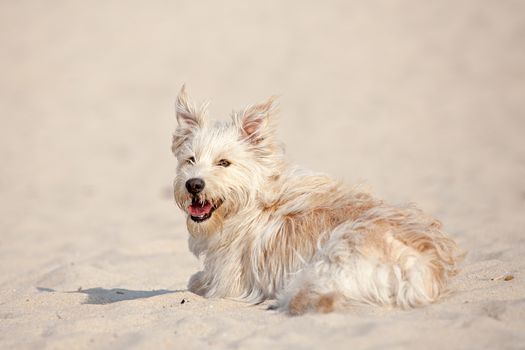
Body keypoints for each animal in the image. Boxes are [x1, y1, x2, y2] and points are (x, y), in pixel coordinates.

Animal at [170, 85, 460, 314]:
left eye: (224, 163)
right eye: (190, 160)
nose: (193, 184)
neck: (254, 201)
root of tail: (421, 267)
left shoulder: (228, 282)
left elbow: (196, 281)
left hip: (324, 265)